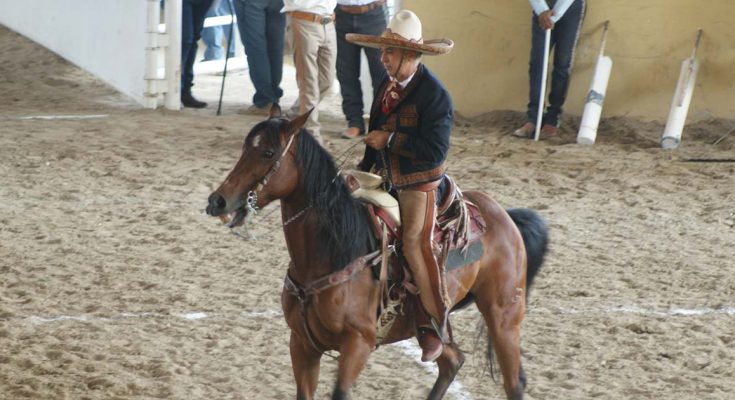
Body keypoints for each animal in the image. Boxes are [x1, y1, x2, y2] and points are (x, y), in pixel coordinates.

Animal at [204, 107, 548, 400]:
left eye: (268, 152)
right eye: (244, 148)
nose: (218, 201)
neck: (330, 255)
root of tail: (504, 216)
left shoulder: (358, 344)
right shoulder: (302, 344)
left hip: (503, 317)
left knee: (514, 382)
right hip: (435, 328)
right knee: (452, 360)